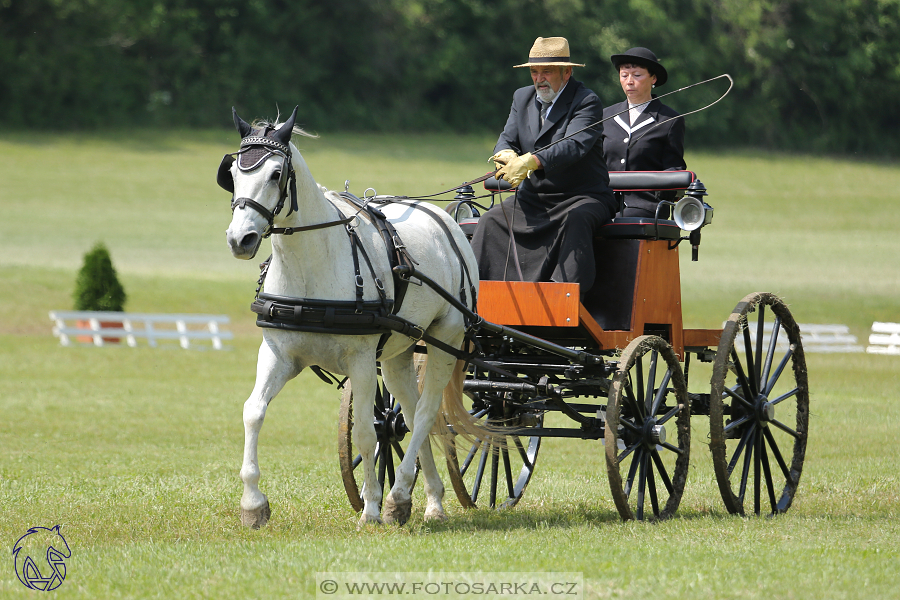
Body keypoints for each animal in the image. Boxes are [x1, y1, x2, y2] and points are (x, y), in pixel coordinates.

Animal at [221, 106, 482, 524]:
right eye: (232, 174)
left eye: (276, 173)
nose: (239, 239)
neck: (313, 267)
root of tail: (448, 221)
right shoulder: (277, 354)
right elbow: (253, 412)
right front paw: (253, 503)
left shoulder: (360, 361)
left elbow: (364, 433)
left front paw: (371, 506)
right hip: (397, 354)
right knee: (411, 416)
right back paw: (426, 499)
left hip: (447, 339)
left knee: (427, 413)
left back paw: (398, 495)